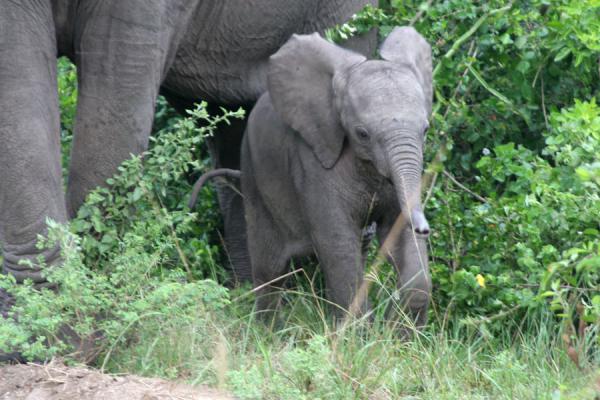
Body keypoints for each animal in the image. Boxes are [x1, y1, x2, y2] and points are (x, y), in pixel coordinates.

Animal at [195, 26, 434, 326]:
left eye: (425, 130)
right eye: (362, 134)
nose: (424, 228)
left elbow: (397, 238)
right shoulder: (314, 164)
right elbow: (337, 243)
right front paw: (355, 335)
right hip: (253, 172)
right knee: (270, 269)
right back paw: (268, 331)